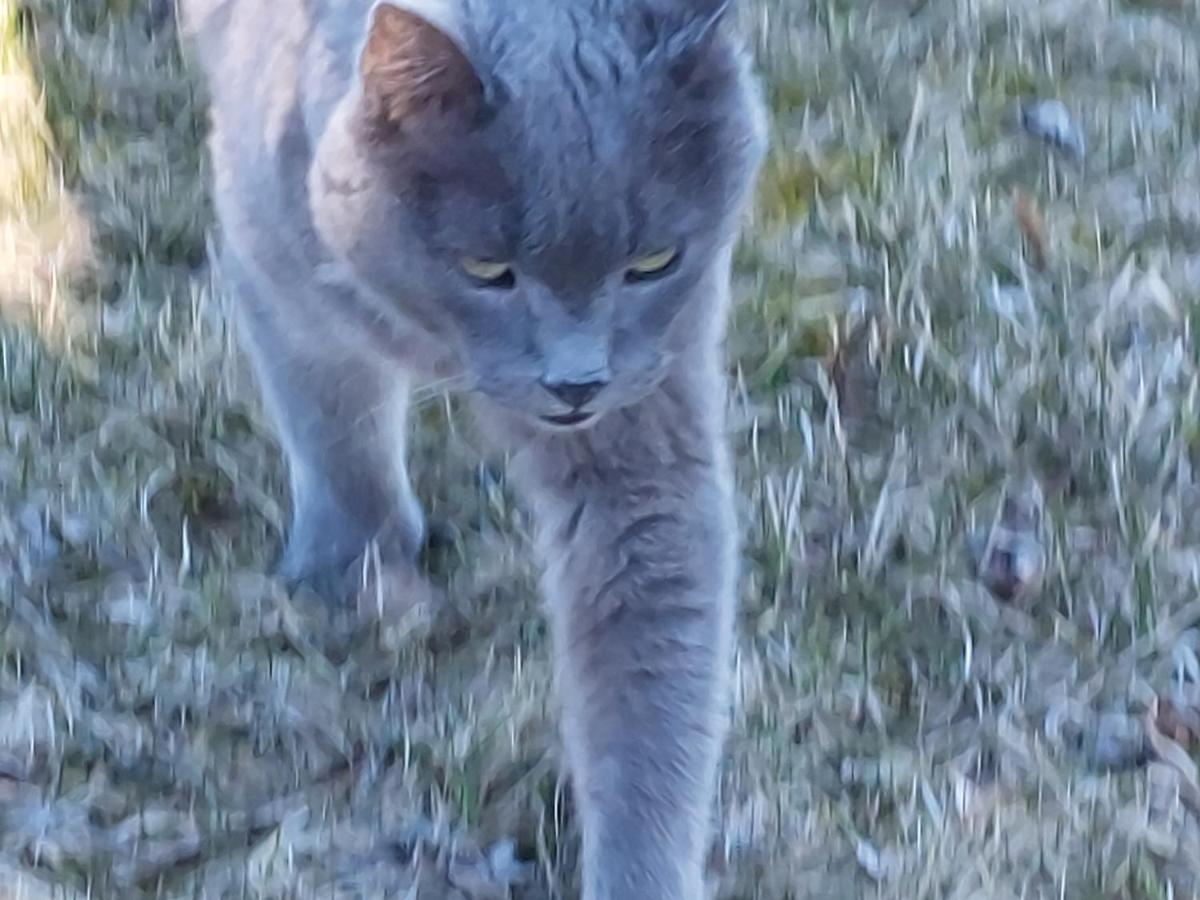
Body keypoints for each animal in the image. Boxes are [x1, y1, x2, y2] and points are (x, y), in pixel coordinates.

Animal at [182, 1, 763, 897]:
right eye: (487, 269)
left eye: (654, 262)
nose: (576, 381)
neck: (438, 343)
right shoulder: (270, 255)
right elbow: (328, 413)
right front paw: (353, 569)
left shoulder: (649, 413)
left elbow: (652, 644)